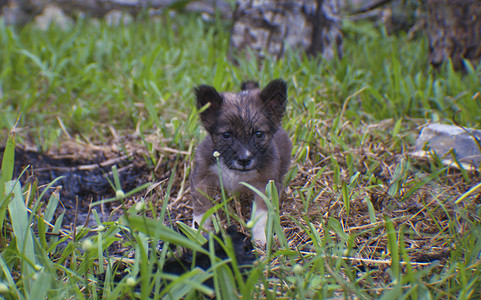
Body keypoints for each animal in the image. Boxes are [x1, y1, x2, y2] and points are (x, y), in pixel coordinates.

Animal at [189, 79, 290, 246]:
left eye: (258, 134)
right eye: (226, 135)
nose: (244, 160)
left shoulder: (263, 185)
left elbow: (260, 217)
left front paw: (260, 240)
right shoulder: (201, 179)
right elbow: (201, 210)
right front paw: (199, 234)